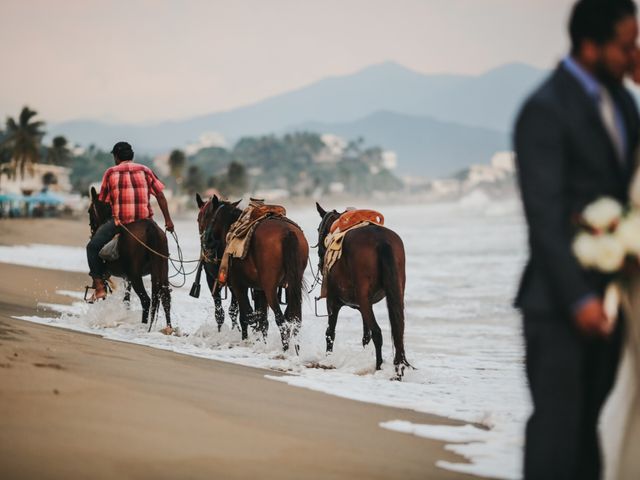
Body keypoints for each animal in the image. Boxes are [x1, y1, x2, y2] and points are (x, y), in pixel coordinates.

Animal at [89, 186, 172, 328]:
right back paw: (169, 328)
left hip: (135, 276)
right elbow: (126, 299)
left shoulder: (122, 276)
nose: (92, 232)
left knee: (146, 300)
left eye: (89, 211)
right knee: (165, 298)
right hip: (162, 270)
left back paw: (143, 325)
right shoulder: (126, 277)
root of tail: (150, 228)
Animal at [200, 194, 310, 348]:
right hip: (292, 284)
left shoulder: (239, 286)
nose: (206, 242)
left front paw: (247, 340)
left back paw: (286, 348)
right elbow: (261, 320)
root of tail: (288, 233)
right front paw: (261, 342)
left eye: (204, 216)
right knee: (294, 319)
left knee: (281, 320)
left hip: (270, 288)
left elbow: (246, 316)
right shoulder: (259, 289)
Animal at [316, 202, 410, 378]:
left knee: (377, 333)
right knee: (396, 333)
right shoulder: (364, 306)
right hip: (390, 294)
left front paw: (328, 359)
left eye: (319, 228)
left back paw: (379, 366)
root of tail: (381, 240)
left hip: (362, 299)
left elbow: (330, 333)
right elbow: (365, 337)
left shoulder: (333, 302)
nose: (320, 259)